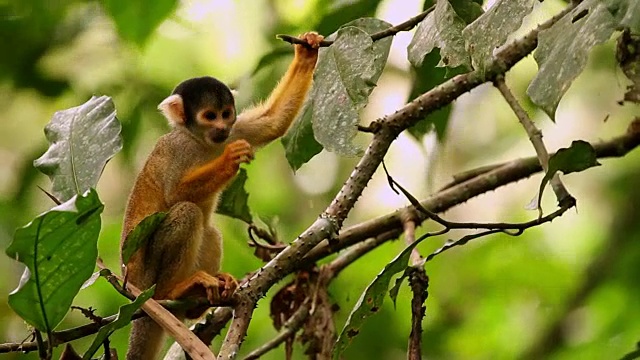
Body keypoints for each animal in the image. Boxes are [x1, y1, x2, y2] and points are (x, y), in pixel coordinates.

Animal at [119, 32, 322, 358]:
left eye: (226, 114)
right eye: (209, 115)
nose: (222, 128)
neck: (201, 140)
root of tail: (138, 297)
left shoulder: (236, 130)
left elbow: (271, 123)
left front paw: (306, 54)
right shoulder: (178, 148)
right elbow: (175, 193)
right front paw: (229, 160)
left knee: (209, 230)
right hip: (145, 279)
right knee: (188, 212)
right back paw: (174, 290)